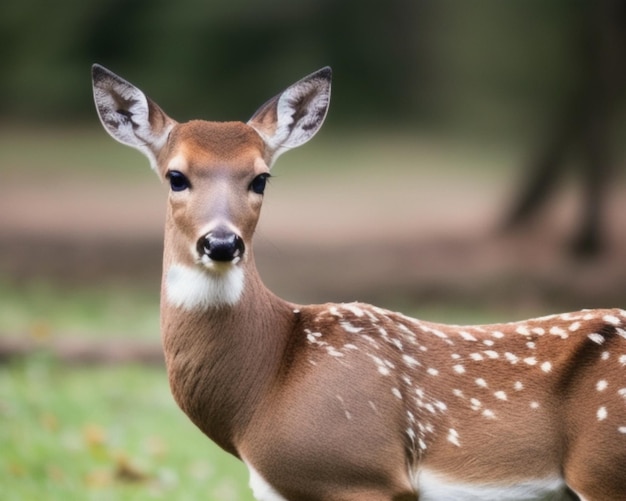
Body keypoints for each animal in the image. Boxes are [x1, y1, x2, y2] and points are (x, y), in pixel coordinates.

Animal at [91, 64, 624, 498]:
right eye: (176, 176)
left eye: (261, 178)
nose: (221, 243)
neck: (263, 390)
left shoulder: (359, 470)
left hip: (602, 467)